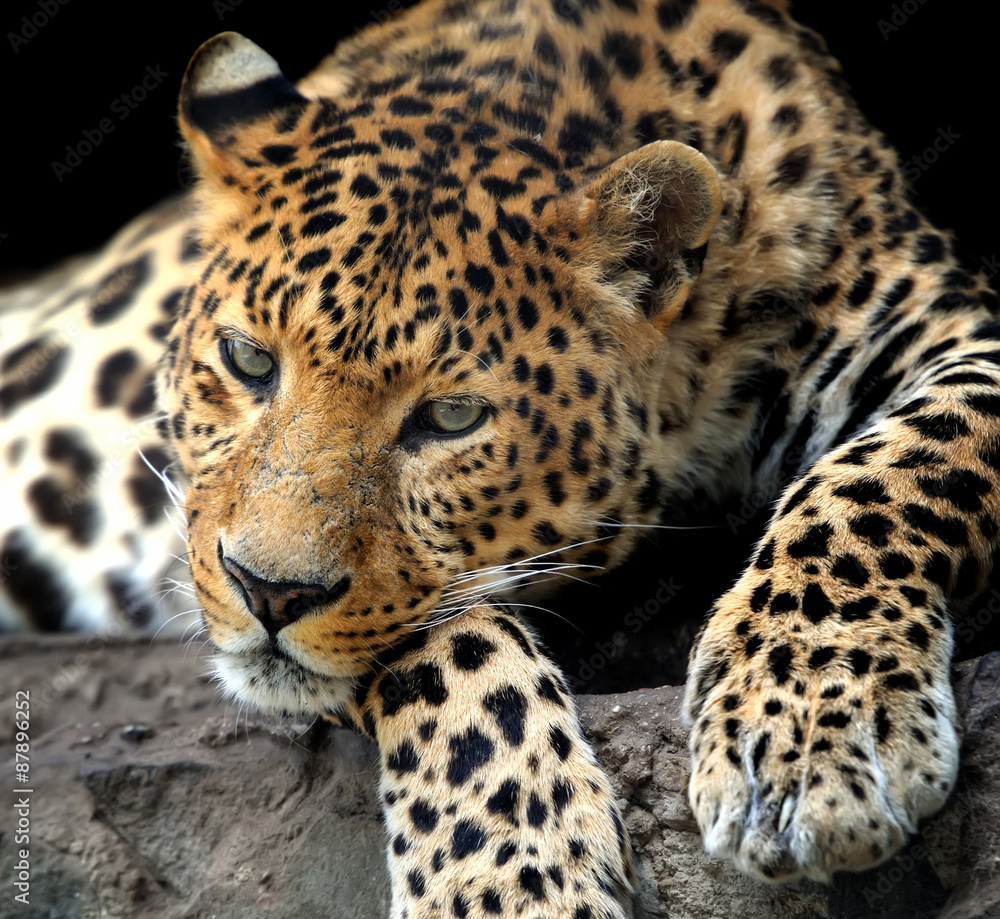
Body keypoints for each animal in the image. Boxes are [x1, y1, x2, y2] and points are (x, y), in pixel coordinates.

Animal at [3, 0, 999, 915]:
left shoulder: (953, 330)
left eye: (450, 418)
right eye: (249, 360)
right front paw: (516, 873)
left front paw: (805, 731)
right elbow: (451, 643)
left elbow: (889, 476)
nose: (268, 592)